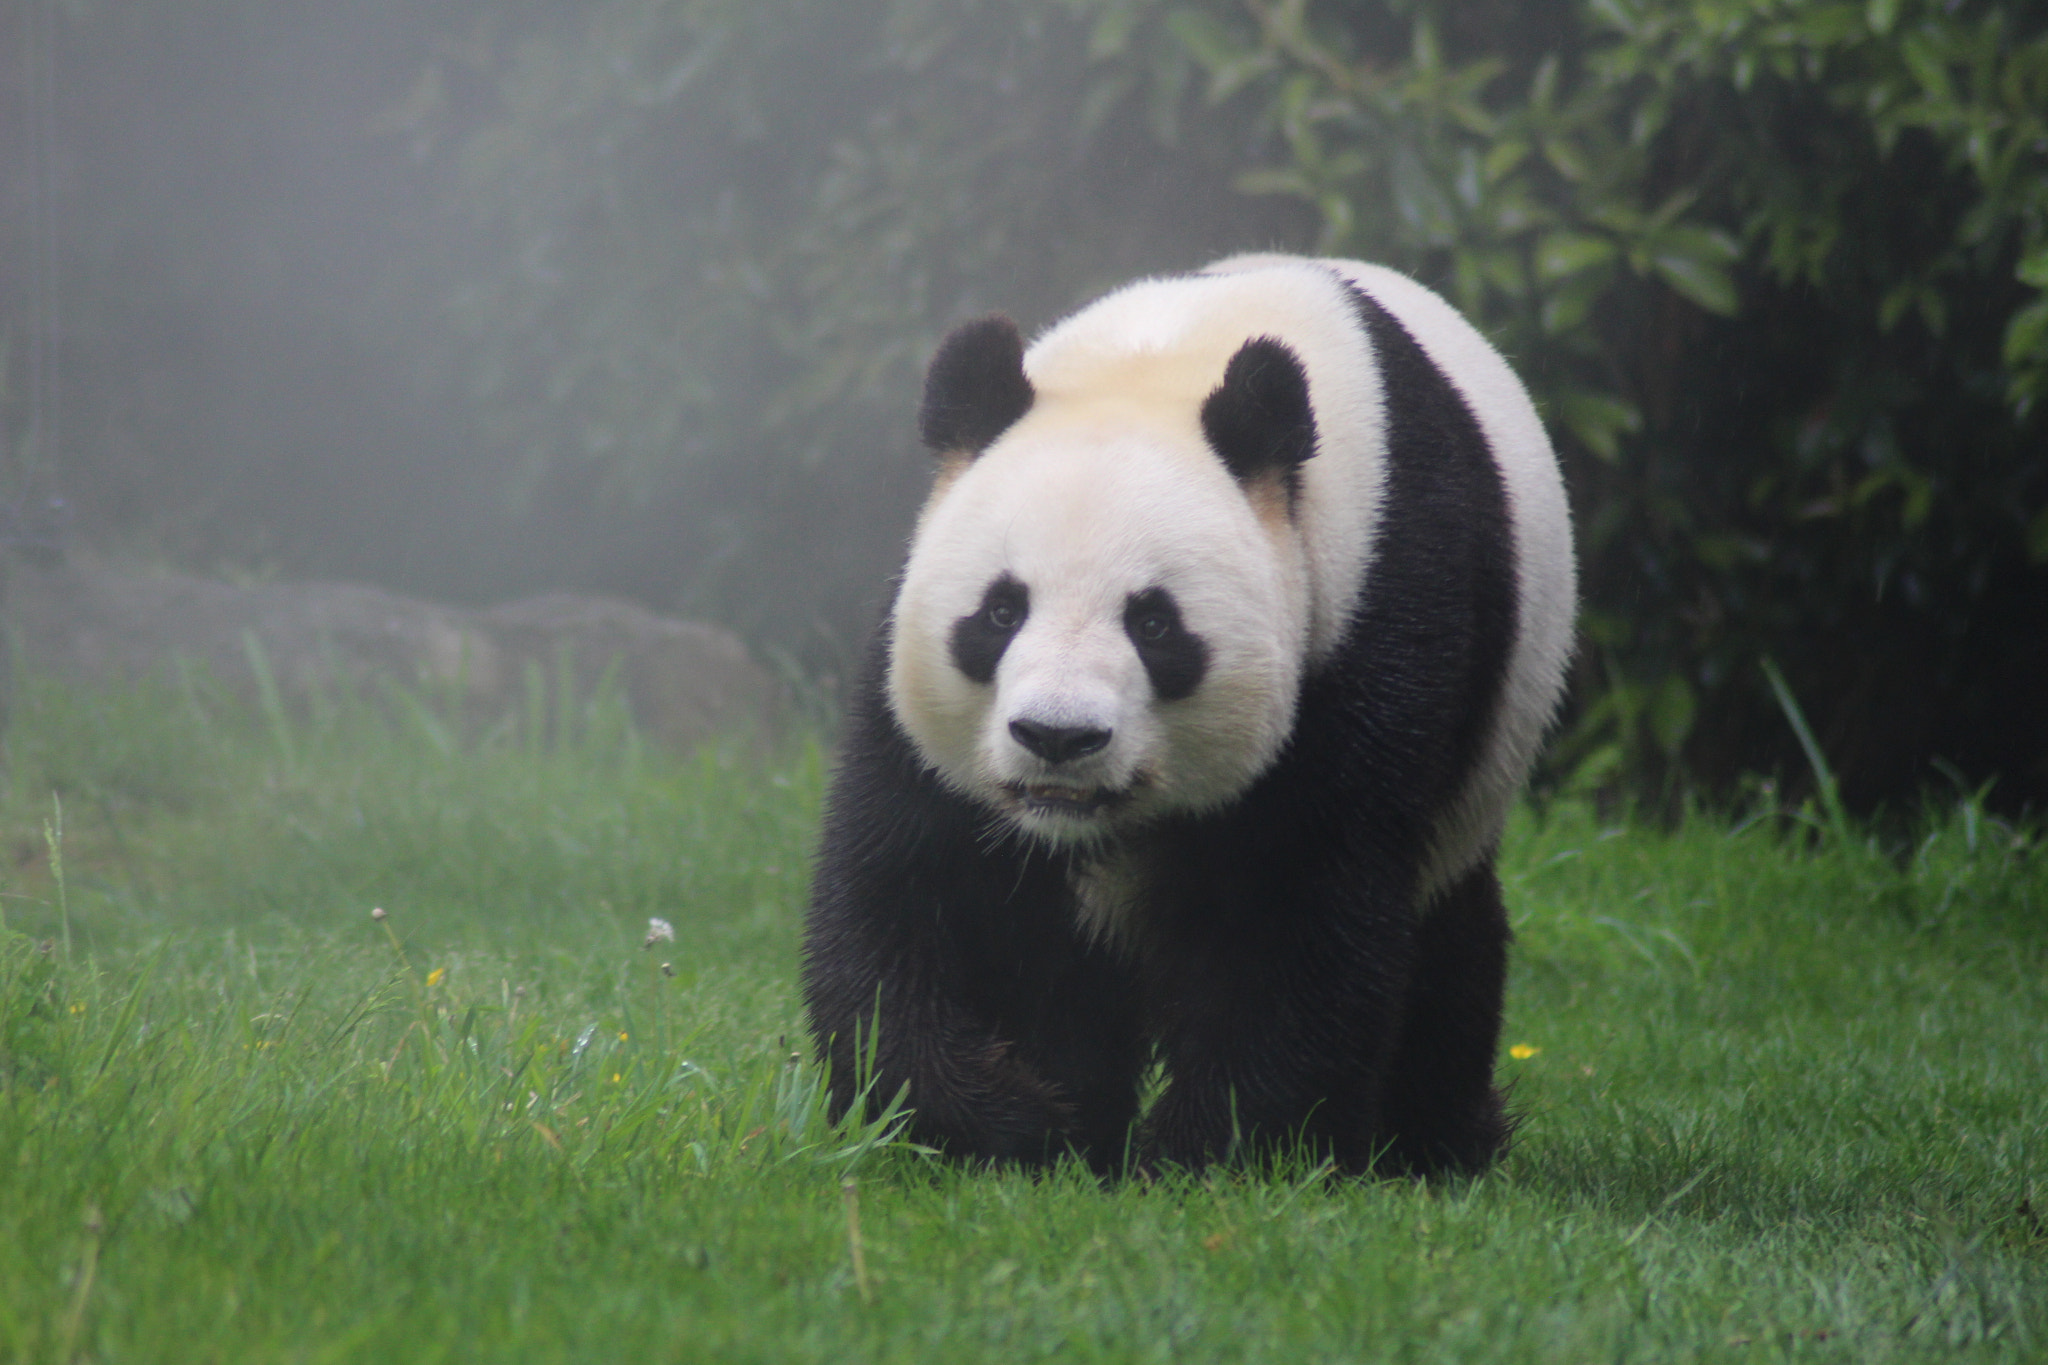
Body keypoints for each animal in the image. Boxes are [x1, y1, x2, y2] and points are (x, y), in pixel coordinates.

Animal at [803, 253, 1575, 1177]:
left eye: (1155, 624)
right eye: (999, 612)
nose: (1058, 737)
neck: (1162, 363)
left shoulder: (1374, 618)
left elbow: (1295, 910)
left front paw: (1210, 1151)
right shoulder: (913, 689)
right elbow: (912, 887)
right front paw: (1013, 1119)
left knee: (1447, 948)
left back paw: (1434, 1141)